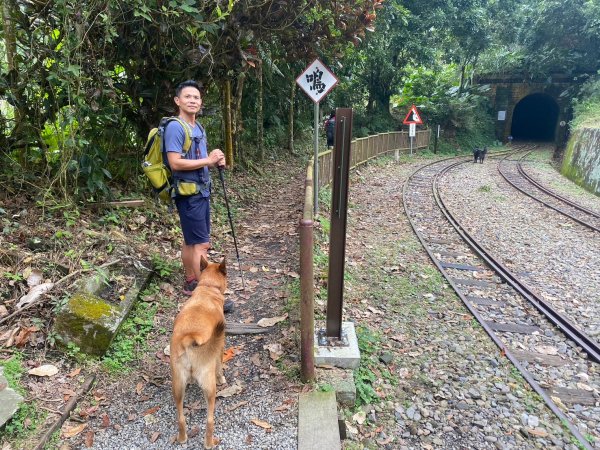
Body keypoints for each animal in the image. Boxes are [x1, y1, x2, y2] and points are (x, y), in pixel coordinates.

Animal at [171, 255, 227, 448]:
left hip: (178, 385)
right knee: (209, 421)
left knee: (180, 418)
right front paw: (222, 377)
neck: (208, 289)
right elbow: (220, 366)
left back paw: (182, 438)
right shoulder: (220, 346)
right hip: (209, 388)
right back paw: (210, 443)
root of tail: (190, 338)